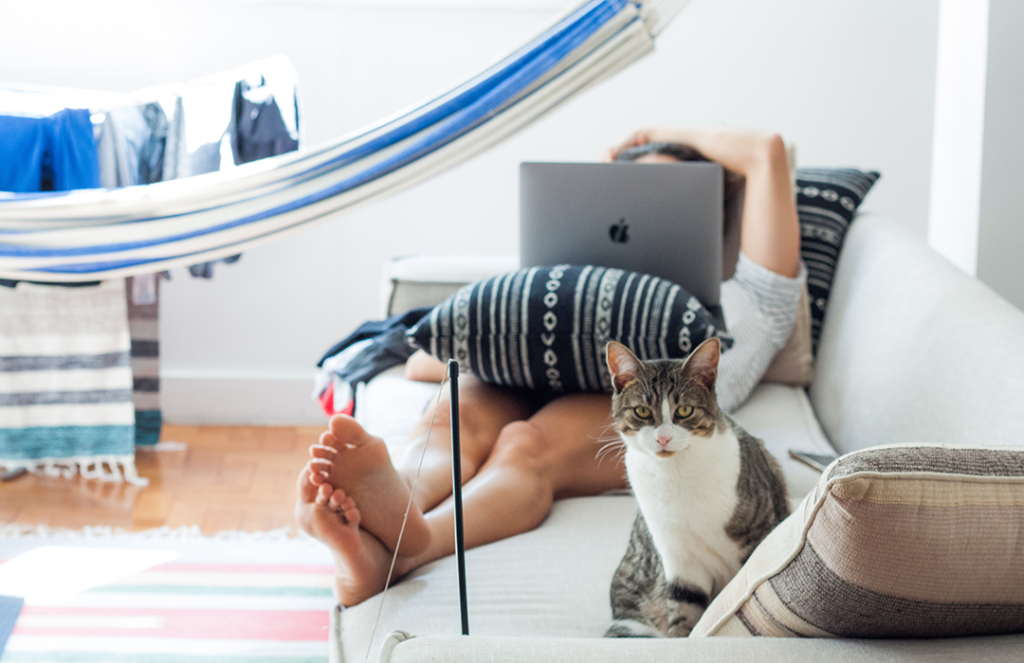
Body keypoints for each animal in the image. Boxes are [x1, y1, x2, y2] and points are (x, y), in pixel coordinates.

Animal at [602, 338, 786, 639]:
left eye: (685, 411)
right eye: (642, 411)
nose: (663, 439)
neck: (676, 474)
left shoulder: (756, 536)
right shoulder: (679, 558)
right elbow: (684, 609)